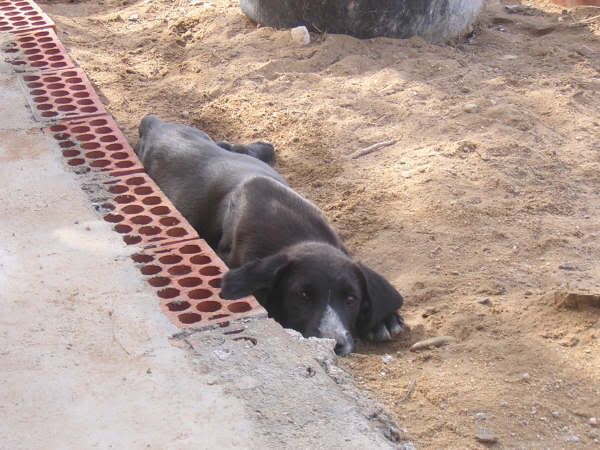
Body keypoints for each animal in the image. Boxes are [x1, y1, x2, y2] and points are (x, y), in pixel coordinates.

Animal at [137, 115, 404, 356]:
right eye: (302, 295)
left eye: (351, 299)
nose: (335, 344)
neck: (297, 233)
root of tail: (156, 124)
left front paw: (386, 319)